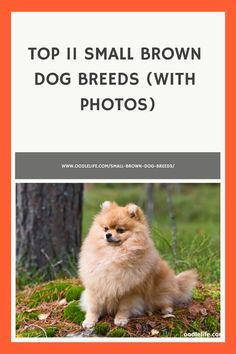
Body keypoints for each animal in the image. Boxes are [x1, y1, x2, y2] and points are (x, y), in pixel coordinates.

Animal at [79, 202, 197, 330]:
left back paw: (167, 309)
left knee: (167, 298)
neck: (113, 254)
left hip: (162, 286)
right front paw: (89, 321)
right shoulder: (96, 284)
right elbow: (94, 307)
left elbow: (123, 308)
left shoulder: (129, 290)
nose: (108, 234)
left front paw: (120, 319)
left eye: (120, 230)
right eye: (105, 228)